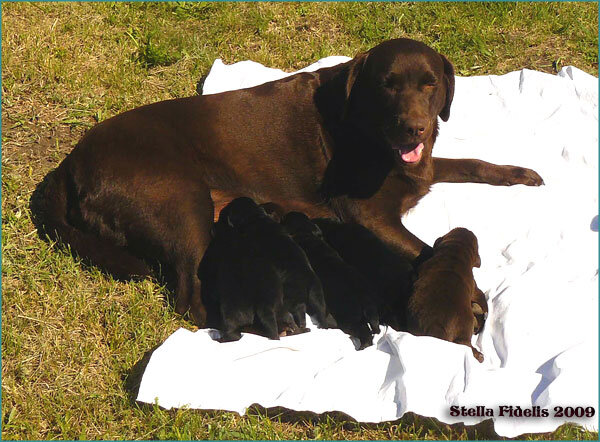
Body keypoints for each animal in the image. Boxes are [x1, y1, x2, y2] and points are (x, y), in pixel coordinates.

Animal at [282, 212, 380, 350]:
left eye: (285, 218)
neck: (307, 235)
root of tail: (366, 300)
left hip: (350, 318)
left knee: (364, 334)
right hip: (372, 312)